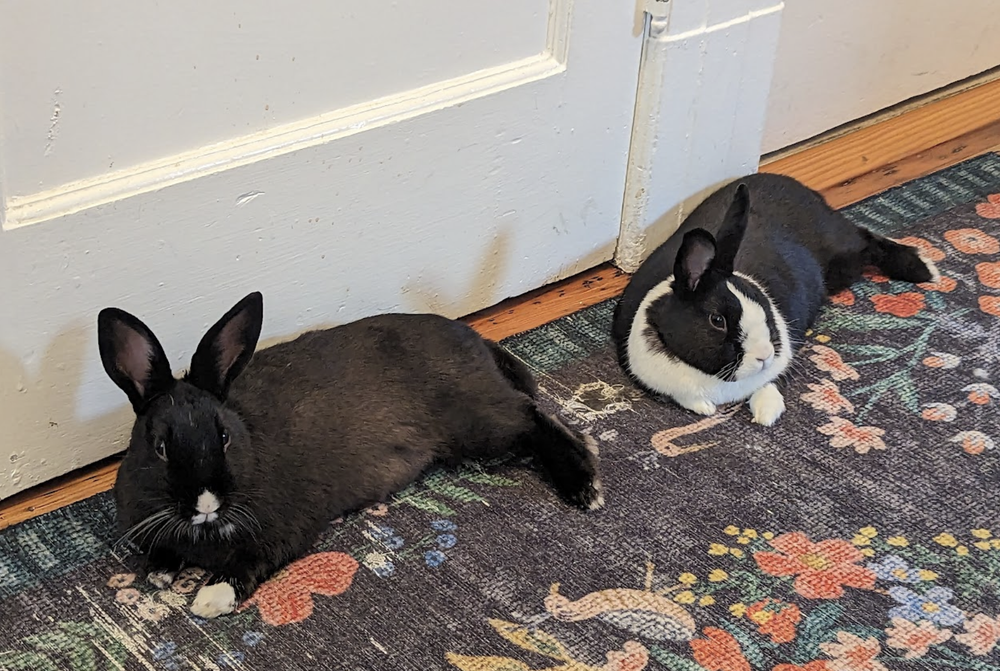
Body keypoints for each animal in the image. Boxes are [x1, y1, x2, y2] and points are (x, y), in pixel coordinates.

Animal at [98, 292, 603, 619]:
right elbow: (158, 552)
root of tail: (476, 339)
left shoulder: (285, 527)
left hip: (478, 424)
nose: (205, 502)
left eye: (223, 437)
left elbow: (252, 559)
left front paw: (210, 598)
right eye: (160, 446)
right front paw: (161, 573)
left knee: (533, 419)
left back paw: (585, 487)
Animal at [612, 173, 938, 426]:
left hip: (844, 257)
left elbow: (770, 382)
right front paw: (705, 407)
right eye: (717, 320)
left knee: (869, 240)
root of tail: (804, 190)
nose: (764, 356)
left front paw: (767, 413)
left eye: (764, 306)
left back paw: (924, 269)